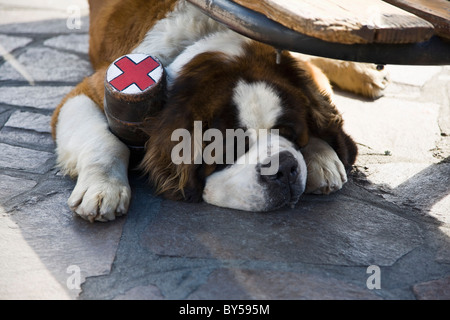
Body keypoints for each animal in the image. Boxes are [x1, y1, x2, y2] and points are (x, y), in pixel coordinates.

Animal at [51, 0, 388, 222]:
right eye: (229, 148)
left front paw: (321, 156)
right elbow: (104, 142)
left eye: (289, 132)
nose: (283, 168)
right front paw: (102, 188)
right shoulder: (90, 92)